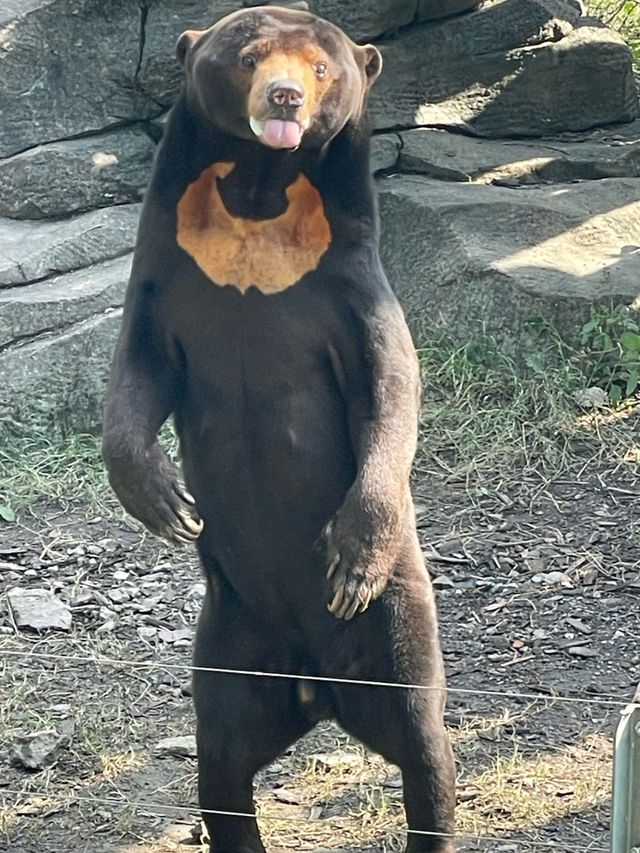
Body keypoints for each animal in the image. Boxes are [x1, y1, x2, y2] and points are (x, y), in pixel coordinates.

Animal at [102, 4, 456, 851]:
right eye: (250, 57)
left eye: (323, 68)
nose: (287, 98)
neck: (258, 197)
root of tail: (314, 688)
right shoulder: (169, 270)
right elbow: (138, 371)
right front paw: (167, 503)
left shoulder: (348, 285)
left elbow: (391, 387)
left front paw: (350, 554)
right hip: (231, 646)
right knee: (223, 766)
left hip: (395, 629)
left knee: (425, 750)